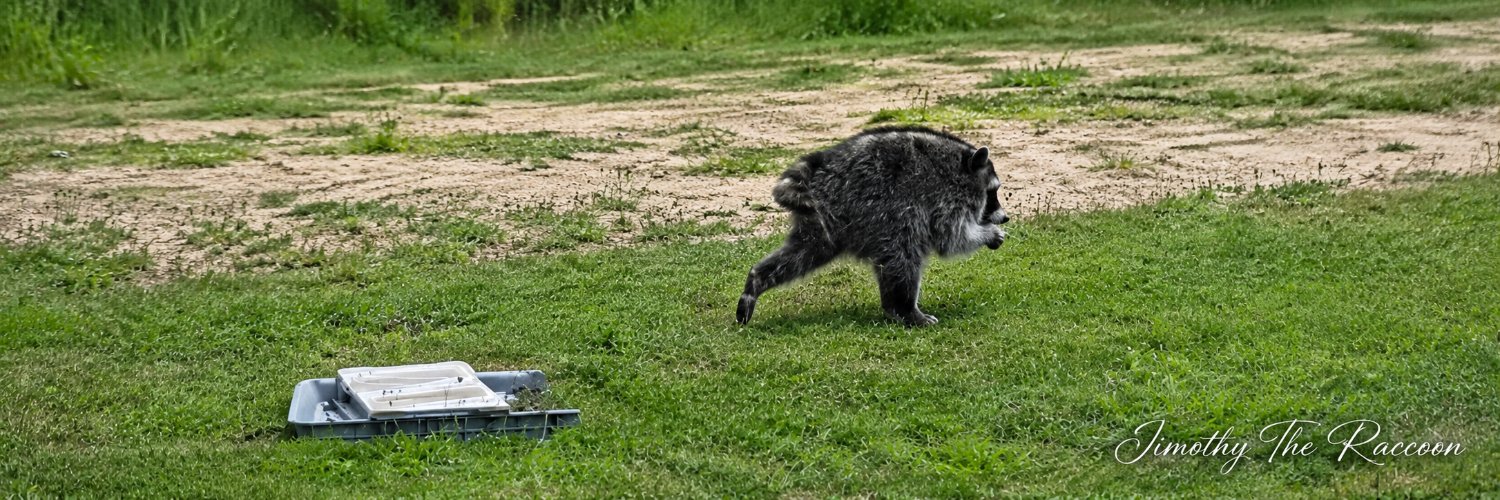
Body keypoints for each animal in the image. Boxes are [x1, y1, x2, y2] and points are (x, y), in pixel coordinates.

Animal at [736, 126, 1009, 327]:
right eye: (993, 192)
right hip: (877, 207)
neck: (962, 166)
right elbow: (951, 236)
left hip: (825, 219)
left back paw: (757, 280)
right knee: (904, 252)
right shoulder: (947, 196)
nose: (1005, 217)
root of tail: (815, 171)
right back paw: (904, 309)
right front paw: (987, 233)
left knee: (804, 253)